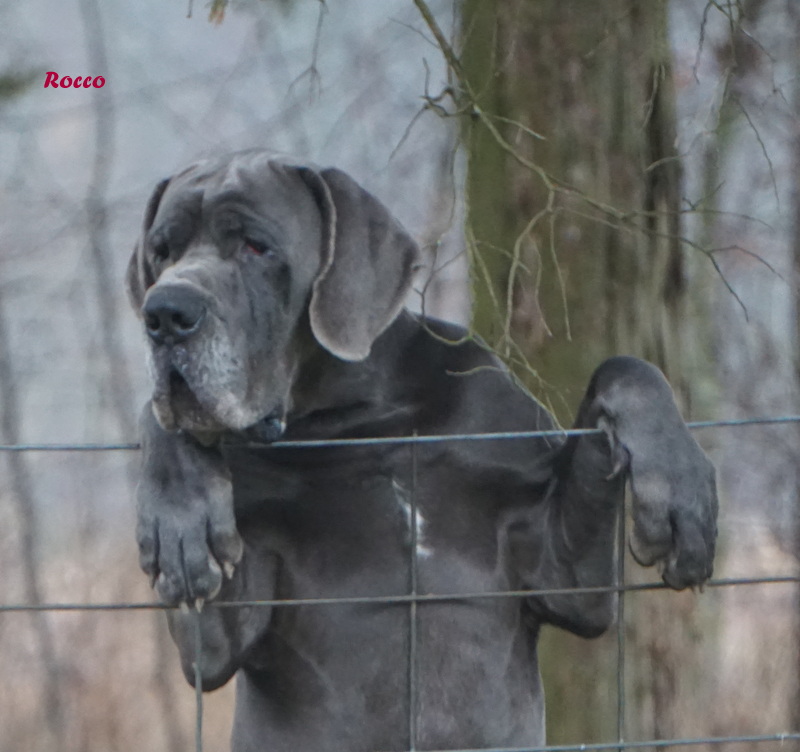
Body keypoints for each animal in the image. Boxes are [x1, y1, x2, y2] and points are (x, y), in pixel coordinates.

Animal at [126, 150, 720, 752]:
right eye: (161, 252)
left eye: (255, 246)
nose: (165, 312)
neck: (356, 423)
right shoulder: (221, 635)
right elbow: (157, 425)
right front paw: (180, 516)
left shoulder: (568, 577)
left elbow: (624, 367)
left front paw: (679, 488)